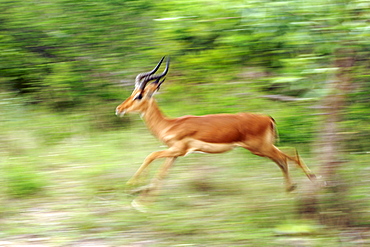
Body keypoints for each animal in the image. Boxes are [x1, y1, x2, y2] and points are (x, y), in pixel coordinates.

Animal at [115, 57, 316, 204]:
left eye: (139, 95)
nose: (119, 109)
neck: (170, 124)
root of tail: (267, 118)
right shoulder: (176, 154)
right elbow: (162, 174)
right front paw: (144, 199)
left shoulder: (178, 149)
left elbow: (150, 156)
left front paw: (133, 186)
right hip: (264, 147)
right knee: (288, 154)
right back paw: (298, 185)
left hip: (259, 148)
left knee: (285, 157)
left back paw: (302, 184)